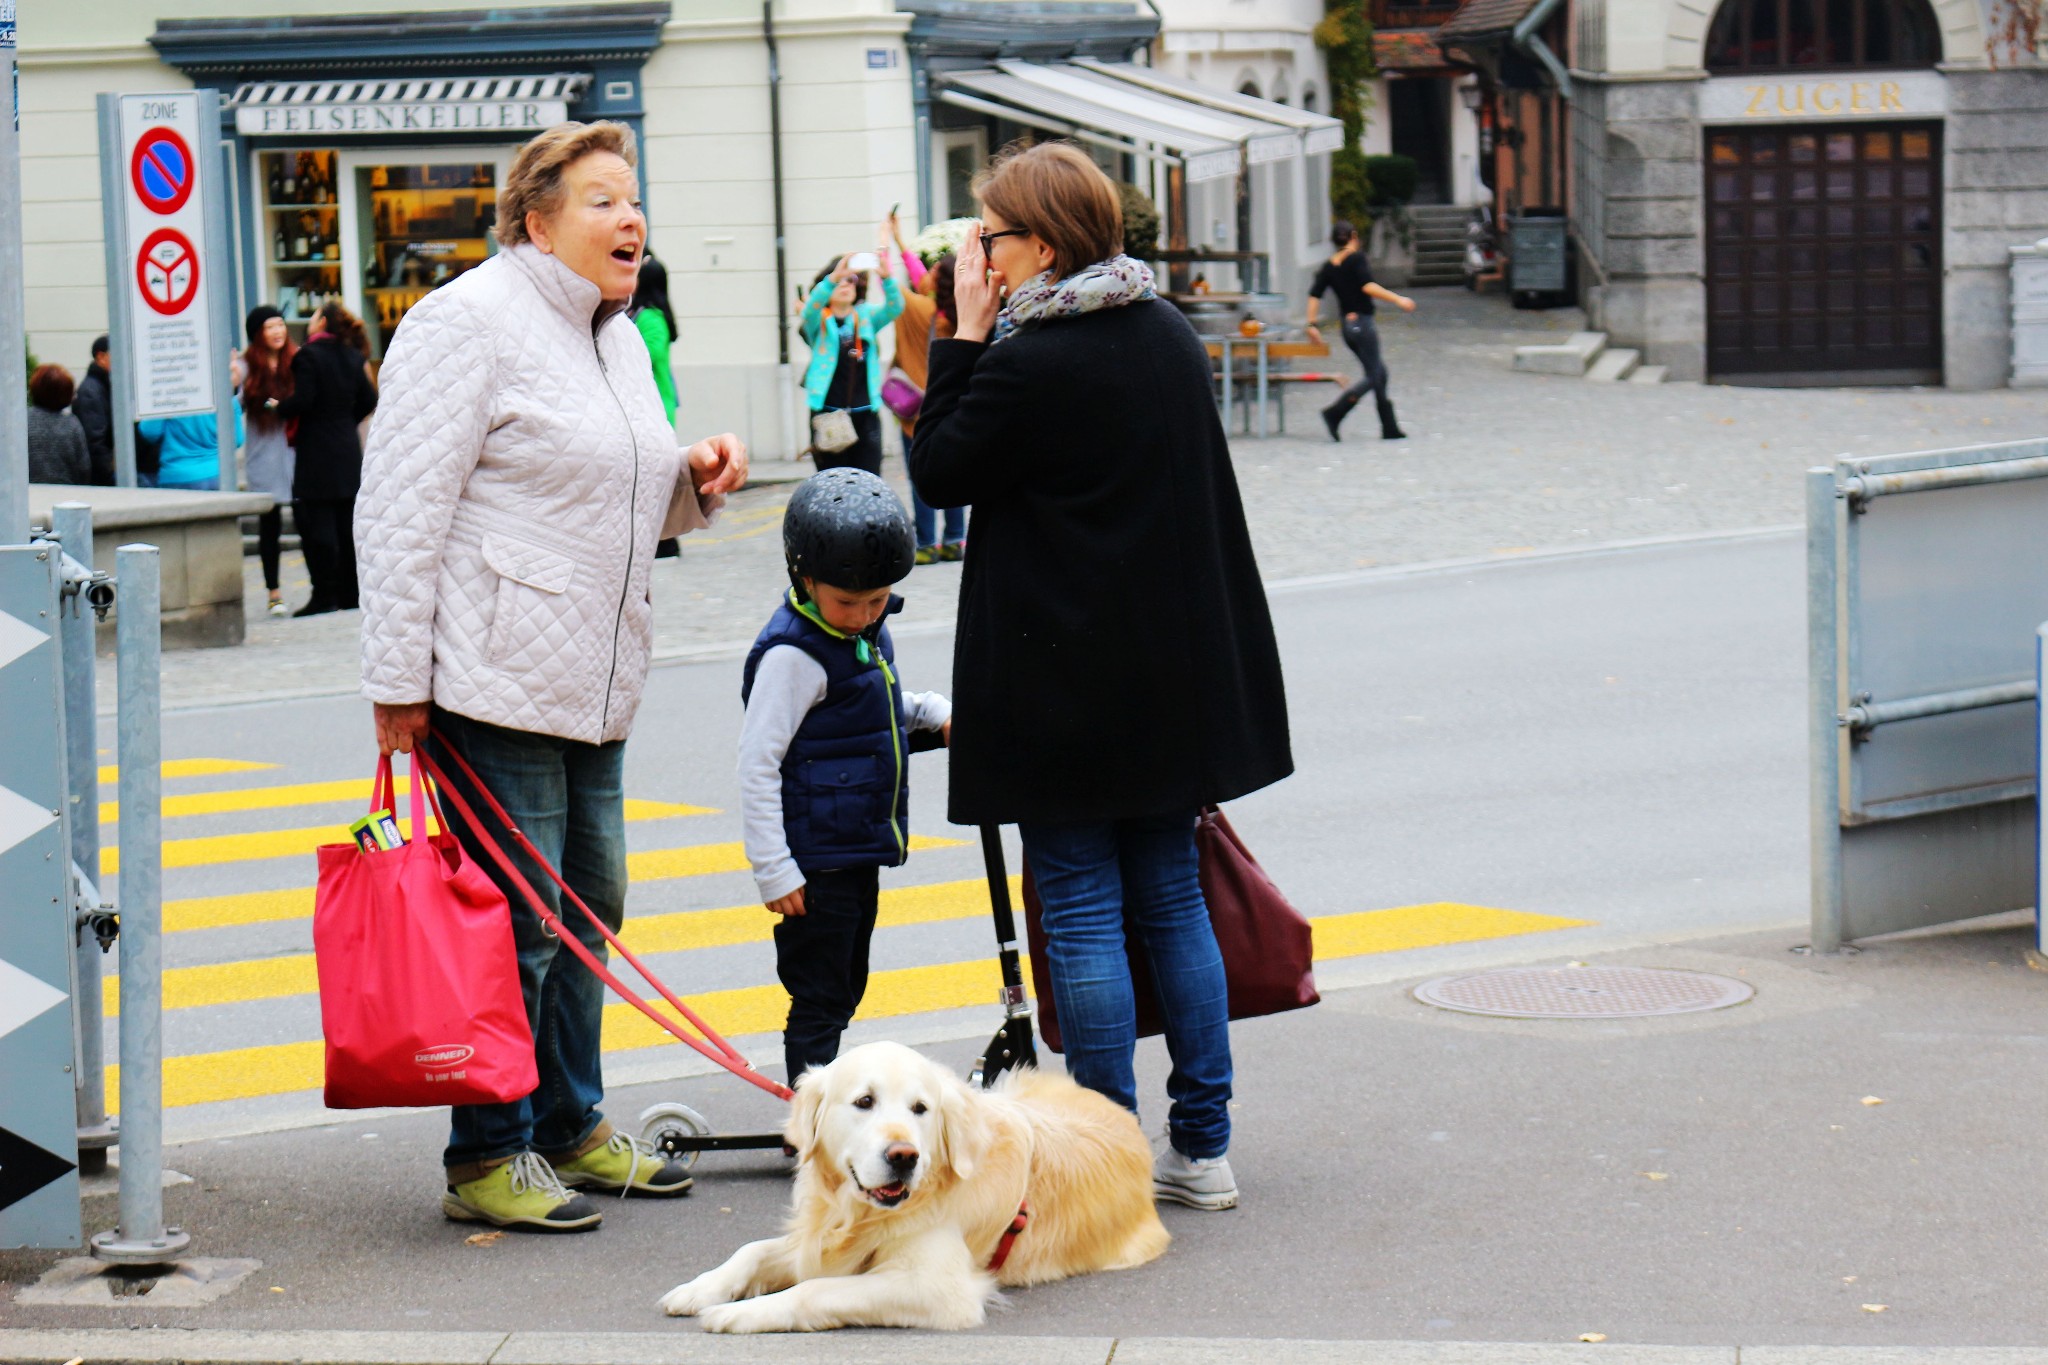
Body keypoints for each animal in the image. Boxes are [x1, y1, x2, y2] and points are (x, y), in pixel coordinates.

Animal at [655, 1039, 1171, 1326]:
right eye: (864, 1101)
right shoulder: (817, 1239)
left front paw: (737, 1313)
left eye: (921, 1109)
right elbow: (752, 1250)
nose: (904, 1156)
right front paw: (699, 1289)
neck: (860, 1215)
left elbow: (813, 1290)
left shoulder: (938, 1289)